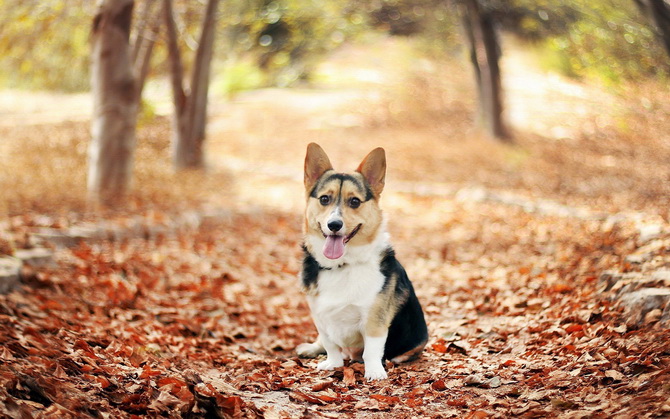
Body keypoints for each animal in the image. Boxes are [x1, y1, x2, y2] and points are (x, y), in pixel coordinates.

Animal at [296, 144, 428, 380]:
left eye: (355, 201)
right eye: (324, 199)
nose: (334, 224)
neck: (342, 265)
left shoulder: (374, 320)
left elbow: (372, 350)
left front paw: (374, 371)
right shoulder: (320, 316)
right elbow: (330, 344)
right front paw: (333, 364)